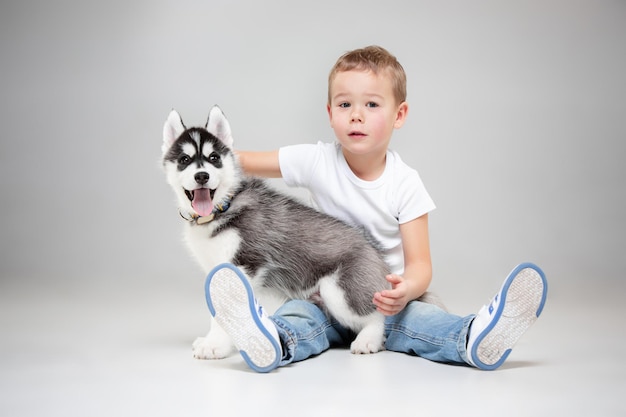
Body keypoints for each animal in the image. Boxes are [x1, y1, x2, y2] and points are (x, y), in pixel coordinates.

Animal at [161, 105, 394, 360]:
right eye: (184, 160)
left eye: (214, 158)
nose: (202, 175)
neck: (222, 208)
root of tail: (375, 250)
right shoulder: (216, 271)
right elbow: (216, 309)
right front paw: (214, 340)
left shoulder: (244, 264)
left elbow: (226, 310)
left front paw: (215, 345)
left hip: (340, 290)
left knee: (378, 315)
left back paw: (369, 339)